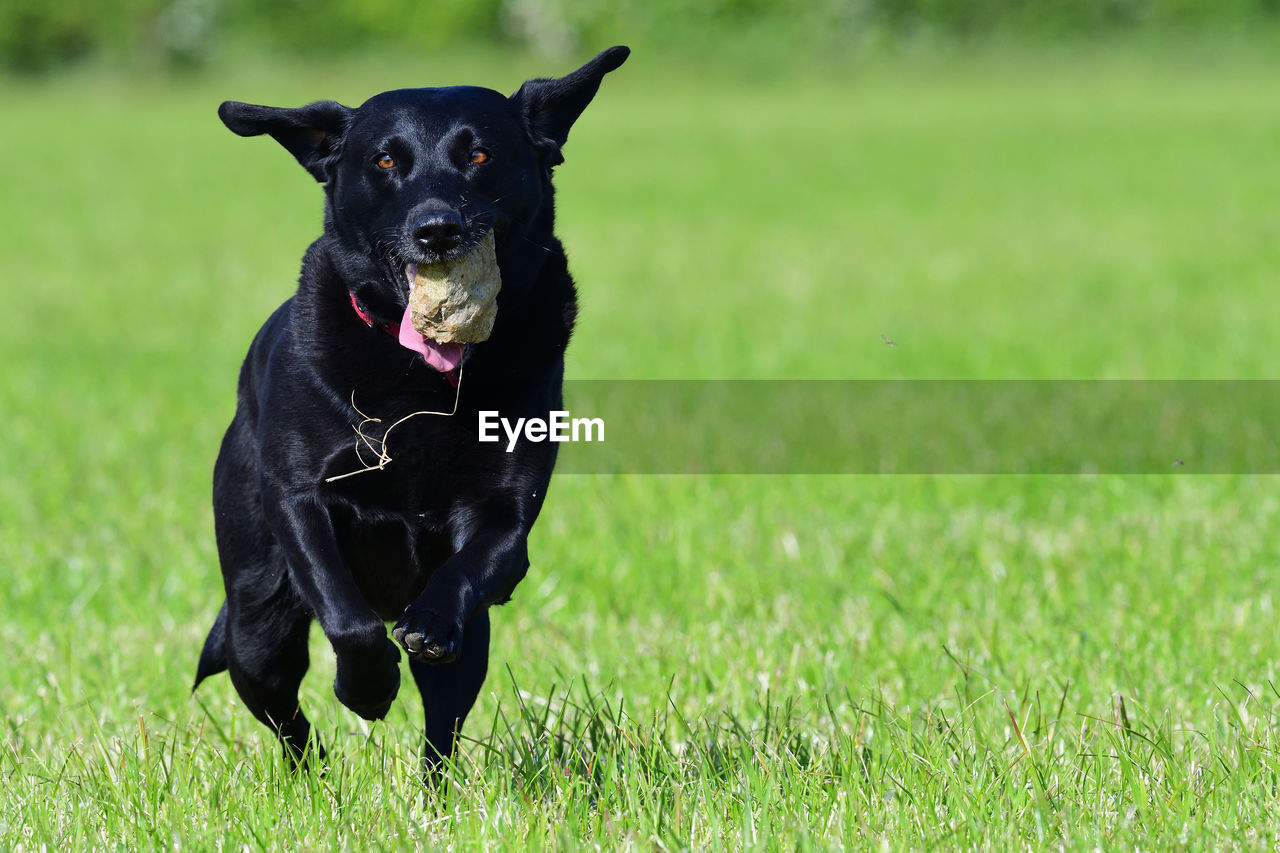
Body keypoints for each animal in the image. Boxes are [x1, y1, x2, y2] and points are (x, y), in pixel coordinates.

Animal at [192, 49, 627, 773]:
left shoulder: (505, 517)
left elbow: (468, 570)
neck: (422, 381)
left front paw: (426, 625)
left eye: (480, 154)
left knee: (442, 726)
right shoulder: (301, 499)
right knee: (285, 715)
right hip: (257, 616)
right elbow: (346, 615)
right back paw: (316, 780)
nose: (437, 229)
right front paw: (367, 686)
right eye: (385, 160)